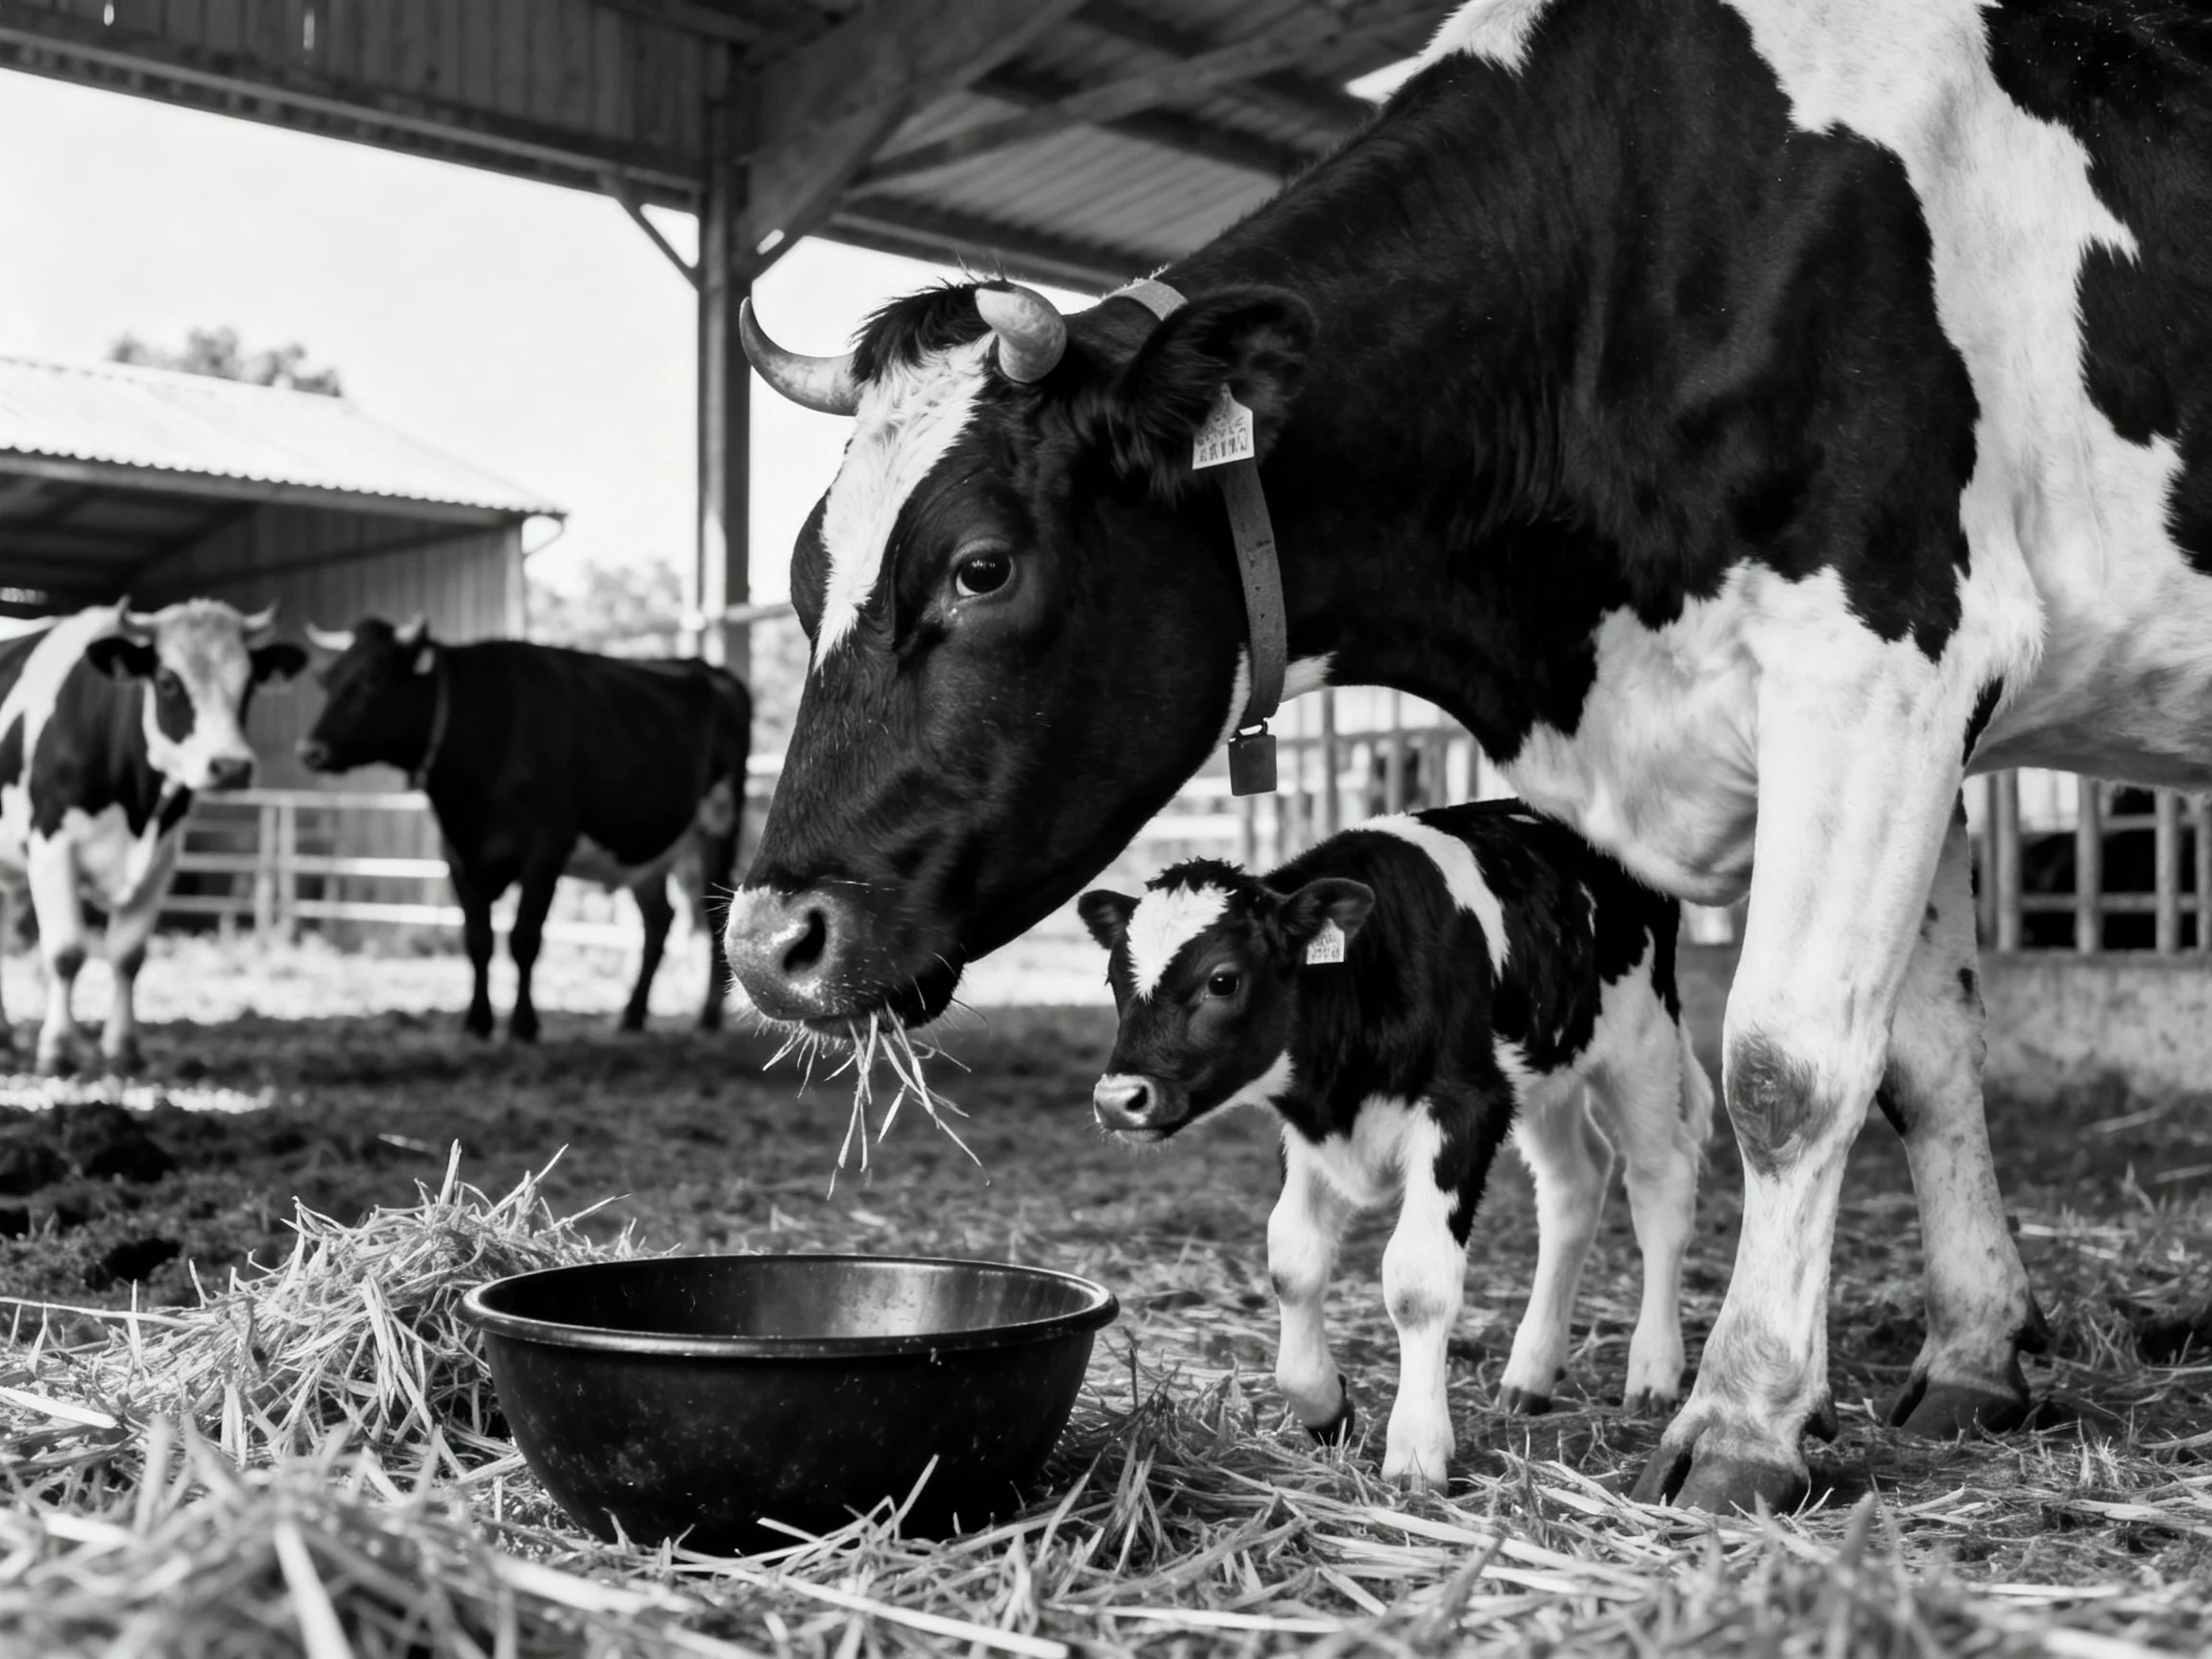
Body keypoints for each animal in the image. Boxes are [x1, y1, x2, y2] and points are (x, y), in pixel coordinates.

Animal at [0, 600, 306, 1074]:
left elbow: (129, 955)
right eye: (167, 681)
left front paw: (123, 1049)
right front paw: (57, 1049)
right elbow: (66, 952)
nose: (231, 767)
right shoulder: (51, 845)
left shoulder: (164, 857)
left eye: (249, 683)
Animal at [297, 618, 750, 1040]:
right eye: (328, 678)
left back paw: (708, 1017)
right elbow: (477, 939)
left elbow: (524, 937)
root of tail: (711, 670)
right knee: (659, 920)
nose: (309, 751)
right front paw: (477, 1023)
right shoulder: (456, 853)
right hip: (646, 850)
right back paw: (632, 1016)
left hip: (719, 825)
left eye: (372, 678)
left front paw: (523, 1025)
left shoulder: (545, 849)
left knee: (714, 914)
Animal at [1079, 802, 1711, 1488]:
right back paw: (1531, 1372)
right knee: (1576, 1183)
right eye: (1112, 979)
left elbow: (1416, 1281)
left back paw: (1653, 1369)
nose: (1117, 1099)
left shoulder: (1466, 1107)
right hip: (1548, 1069)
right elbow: (1291, 1260)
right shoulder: (1310, 1128)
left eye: (1222, 980)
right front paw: (1325, 1406)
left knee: (1660, 1180)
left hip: (1641, 1043)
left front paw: (1415, 1451)